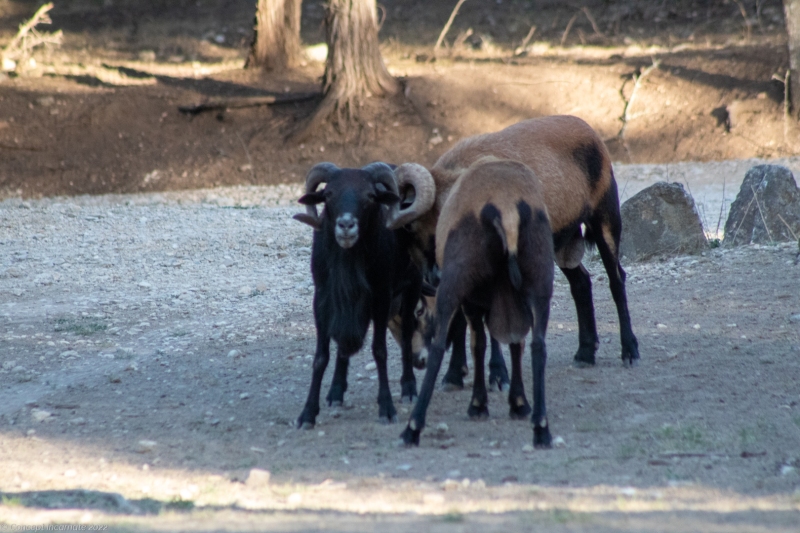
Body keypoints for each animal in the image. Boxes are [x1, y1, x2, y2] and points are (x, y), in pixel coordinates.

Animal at [293, 162, 424, 428]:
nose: (346, 225)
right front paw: (308, 414)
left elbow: (380, 351)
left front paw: (387, 408)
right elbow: (321, 356)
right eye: (328, 194)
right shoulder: (322, 299)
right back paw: (335, 392)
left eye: (370, 196)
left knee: (407, 334)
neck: (348, 263)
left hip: (411, 288)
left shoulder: (382, 297)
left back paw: (408, 388)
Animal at [388, 115, 639, 371]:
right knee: (581, 283)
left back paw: (629, 350)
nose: (435, 275)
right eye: (410, 228)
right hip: (561, 246)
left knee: (616, 280)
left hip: (605, 220)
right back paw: (585, 352)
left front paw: (497, 371)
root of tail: (590, 131)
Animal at [401, 158, 555, 446]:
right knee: (538, 345)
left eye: (409, 229)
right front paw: (518, 403)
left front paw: (478, 405)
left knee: (438, 346)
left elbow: (478, 345)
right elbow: (515, 343)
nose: (429, 275)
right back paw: (541, 427)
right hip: (541, 281)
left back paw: (413, 427)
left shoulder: (471, 303)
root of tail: (506, 208)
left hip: (455, 284)